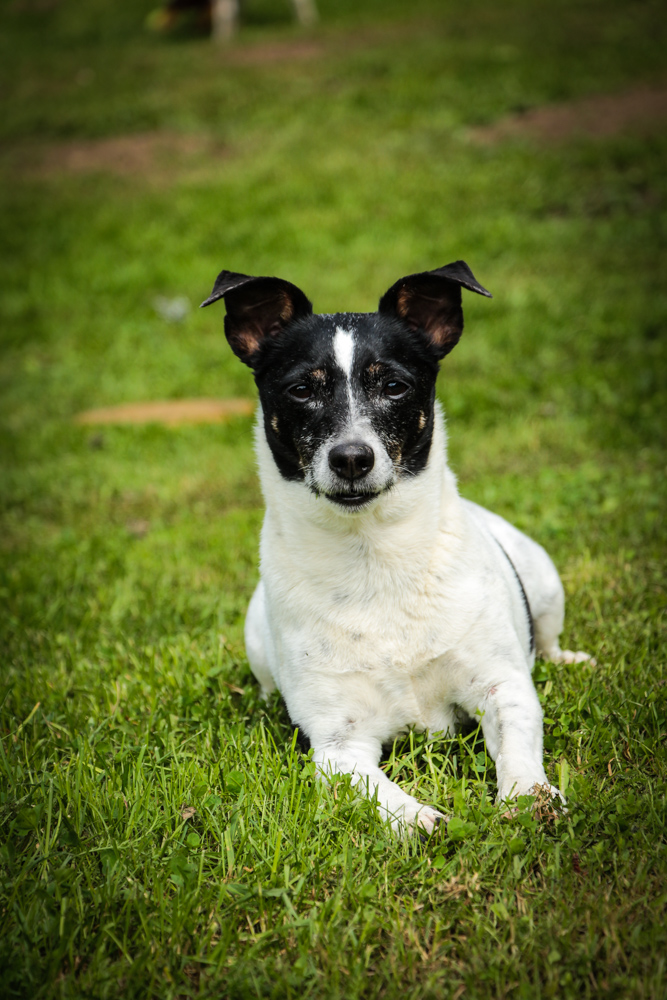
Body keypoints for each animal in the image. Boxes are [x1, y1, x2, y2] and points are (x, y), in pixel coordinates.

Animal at [201, 262, 592, 832]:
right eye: (301, 389)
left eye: (393, 385)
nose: (351, 458)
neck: (374, 557)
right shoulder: (337, 743)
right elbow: (378, 793)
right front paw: (423, 821)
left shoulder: (502, 688)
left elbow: (518, 745)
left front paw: (529, 796)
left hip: (543, 581)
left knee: (548, 638)